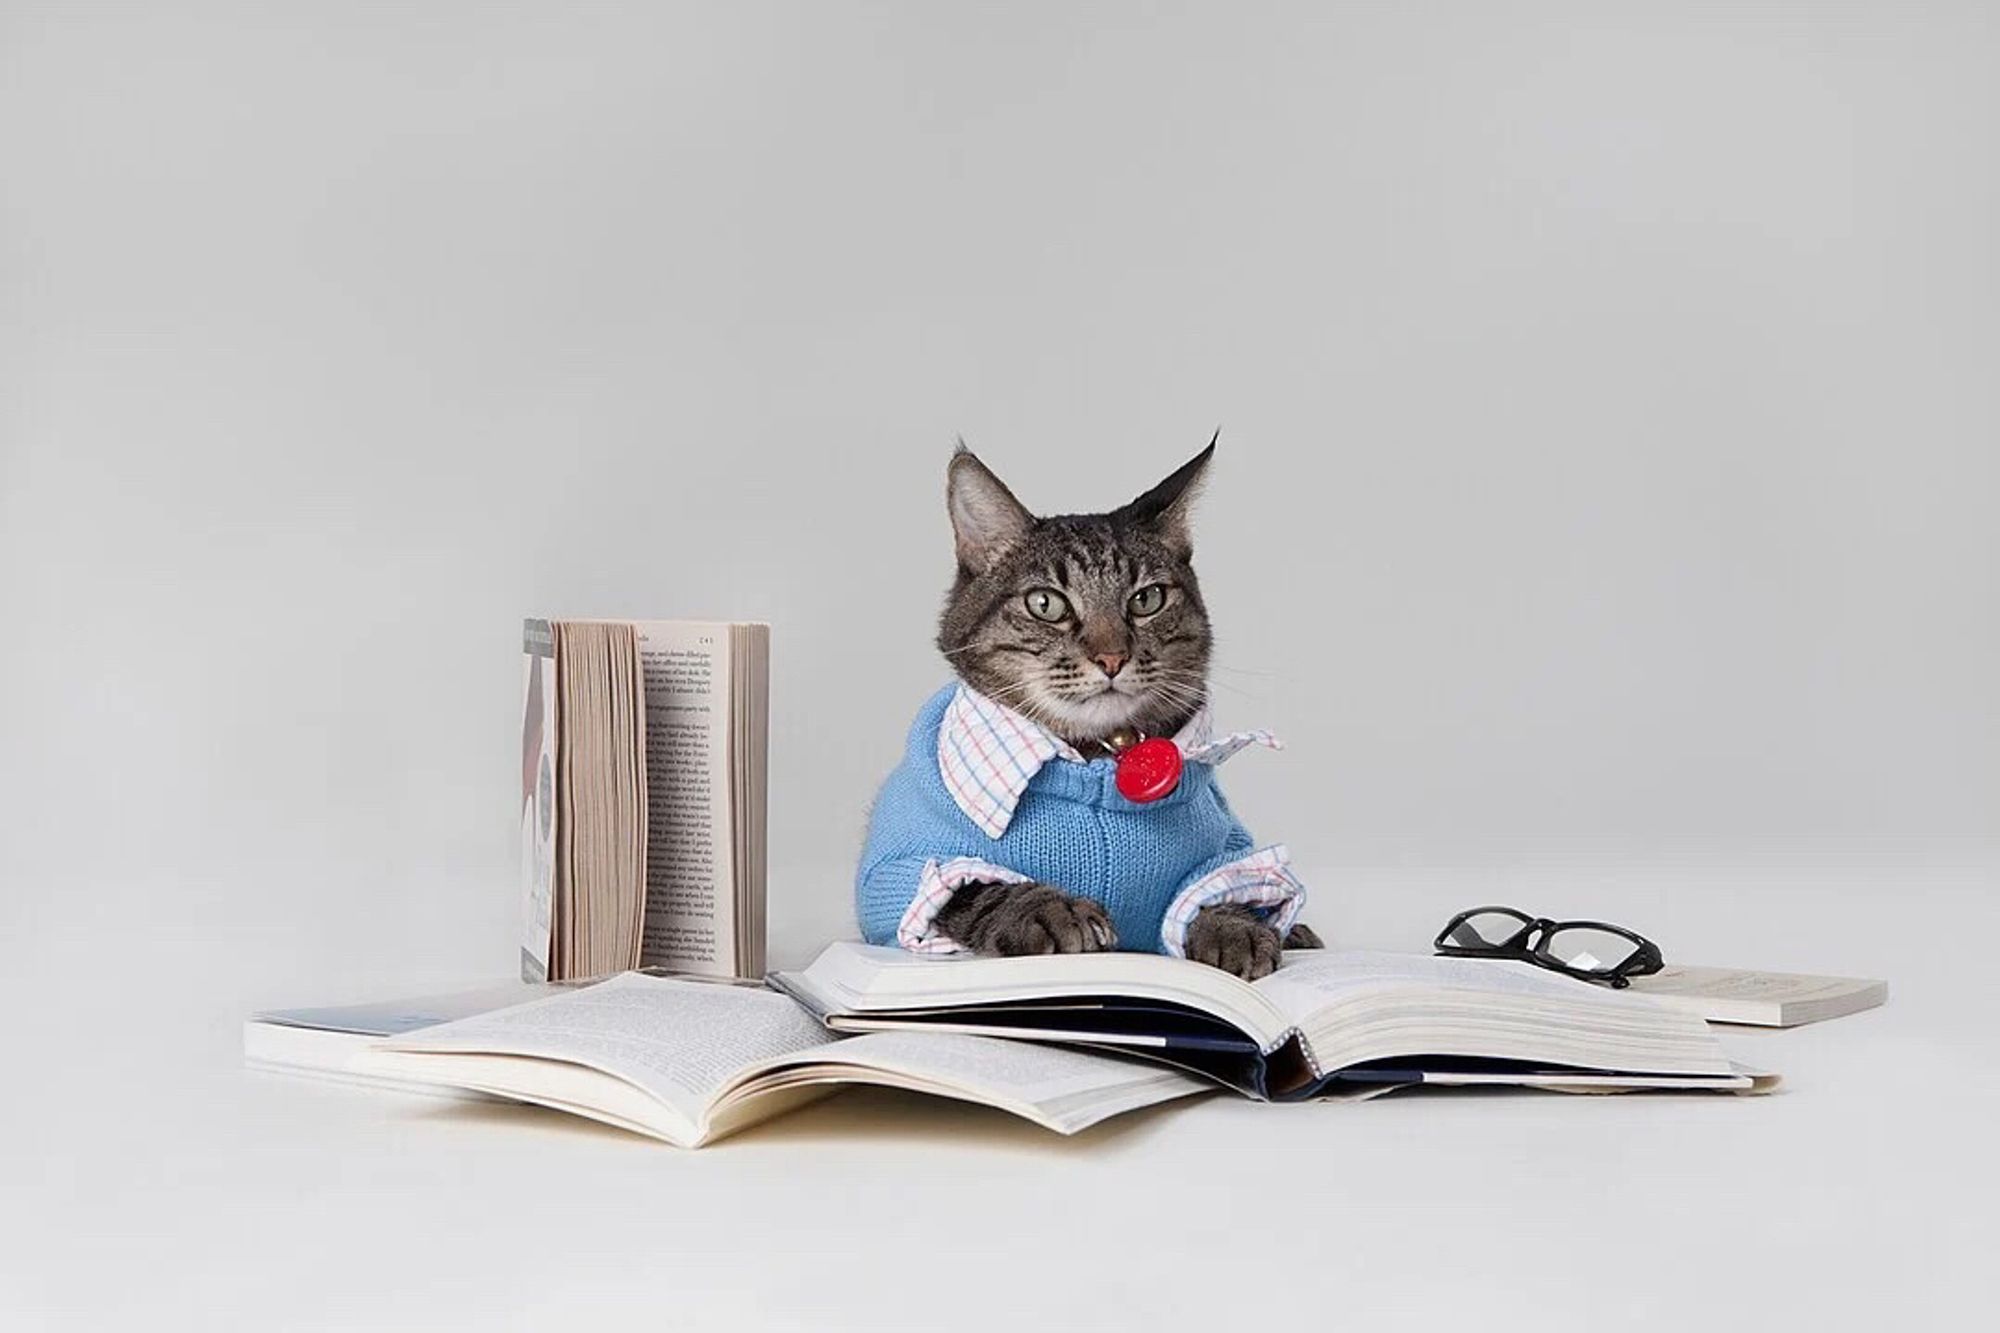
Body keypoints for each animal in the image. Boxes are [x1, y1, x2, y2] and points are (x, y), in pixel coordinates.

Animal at [852, 436, 1320, 976]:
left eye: (1147, 599)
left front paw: (1232, 927)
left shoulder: (1228, 851)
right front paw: (1050, 909)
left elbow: (1225, 888)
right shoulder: (904, 868)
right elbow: (982, 884)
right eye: (1046, 604)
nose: (1112, 657)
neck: (1101, 758)